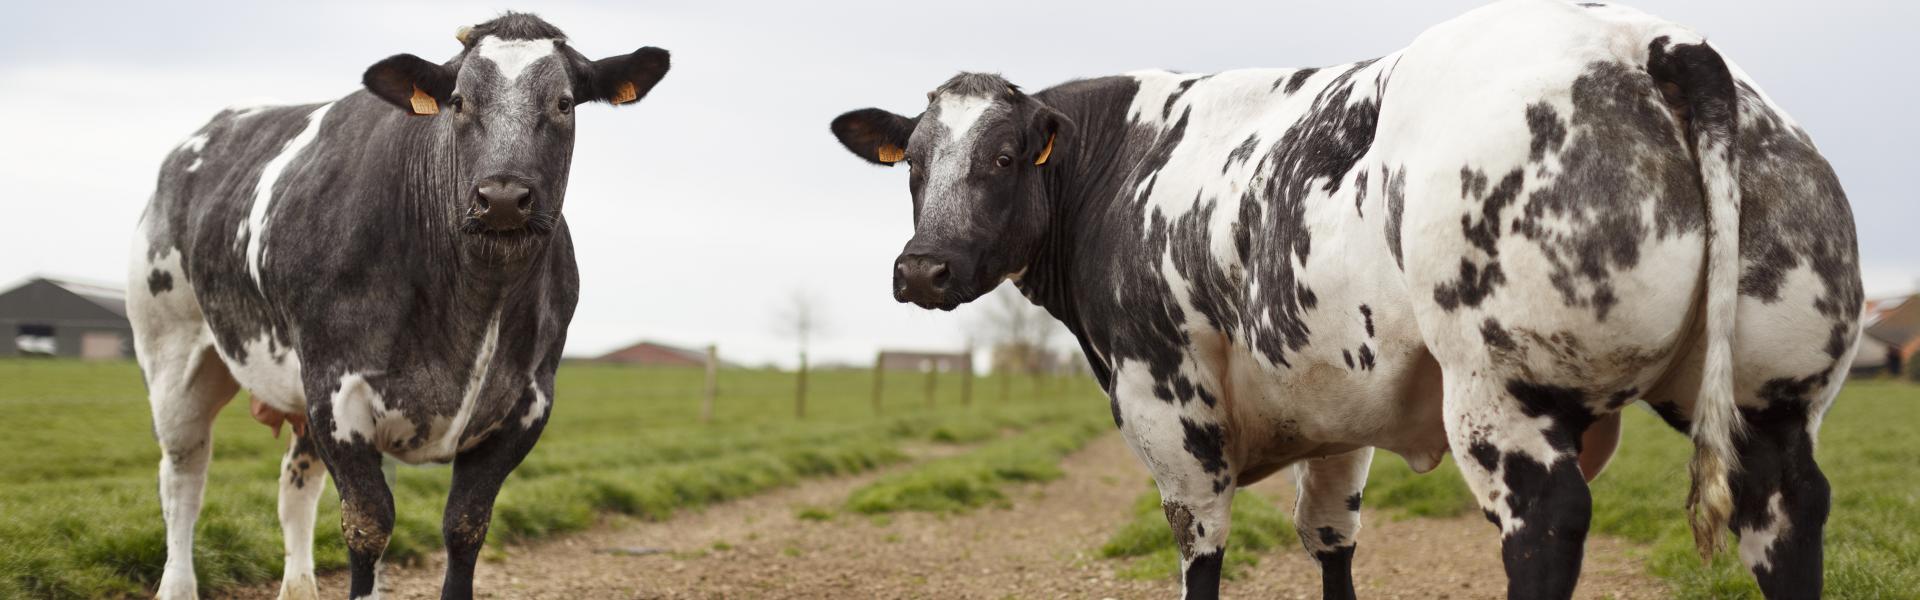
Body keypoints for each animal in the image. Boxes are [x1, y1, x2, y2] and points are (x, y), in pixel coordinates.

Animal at [129, 14, 668, 600]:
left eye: (565, 103)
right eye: (458, 101)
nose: (502, 198)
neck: (474, 301)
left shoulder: (528, 404)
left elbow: (465, 526)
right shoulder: (336, 392)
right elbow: (368, 524)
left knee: (295, 487)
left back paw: (299, 586)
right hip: (173, 356)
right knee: (183, 477)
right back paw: (177, 583)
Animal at [829, 1, 1858, 600]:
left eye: (1005, 157)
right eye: (911, 164)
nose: (921, 271)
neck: (1126, 163)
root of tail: (1647, 38)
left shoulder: (1170, 407)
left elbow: (1202, 550)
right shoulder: (1334, 409)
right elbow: (1330, 541)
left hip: (1502, 394)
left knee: (1546, 528)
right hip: (1771, 403)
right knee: (1788, 514)